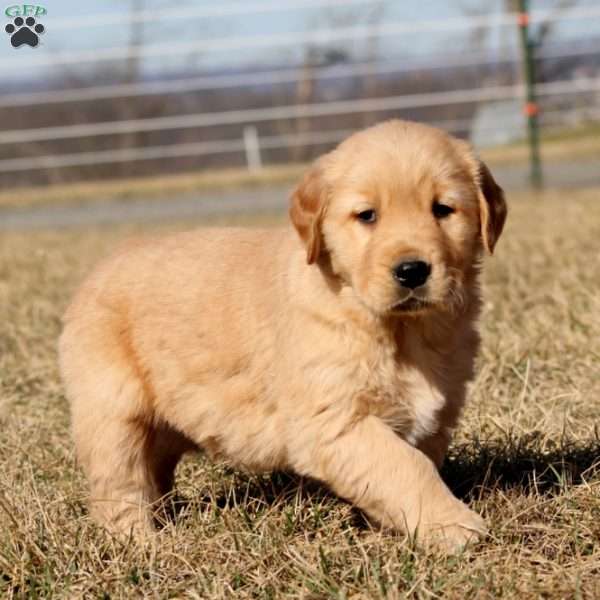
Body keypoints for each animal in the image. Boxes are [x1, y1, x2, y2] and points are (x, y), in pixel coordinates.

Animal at [58, 119, 506, 552]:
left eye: (443, 209)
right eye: (367, 215)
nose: (412, 271)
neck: (397, 329)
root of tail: (97, 271)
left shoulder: (437, 415)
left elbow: (410, 466)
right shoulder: (334, 421)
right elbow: (405, 466)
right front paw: (455, 525)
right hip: (112, 414)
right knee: (119, 486)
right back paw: (142, 541)